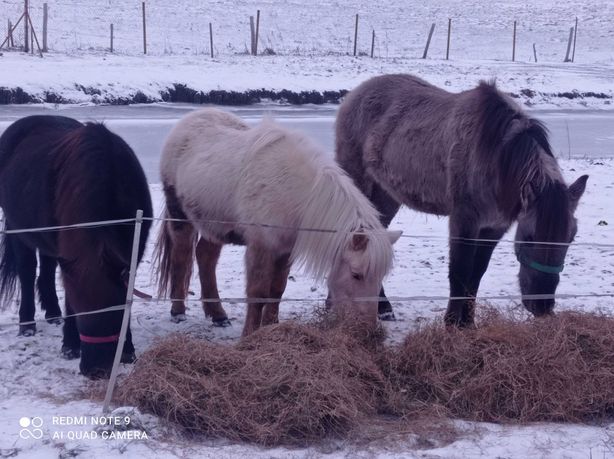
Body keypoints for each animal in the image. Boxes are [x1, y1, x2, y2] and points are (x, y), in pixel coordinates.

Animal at [0, 117, 153, 380]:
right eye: (81, 309)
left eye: (114, 307)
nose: (96, 369)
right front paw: (70, 345)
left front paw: (127, 349)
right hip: (19, 231)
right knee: (27, 273)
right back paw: (27, 325)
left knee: (46, 270)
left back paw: (52, 313)